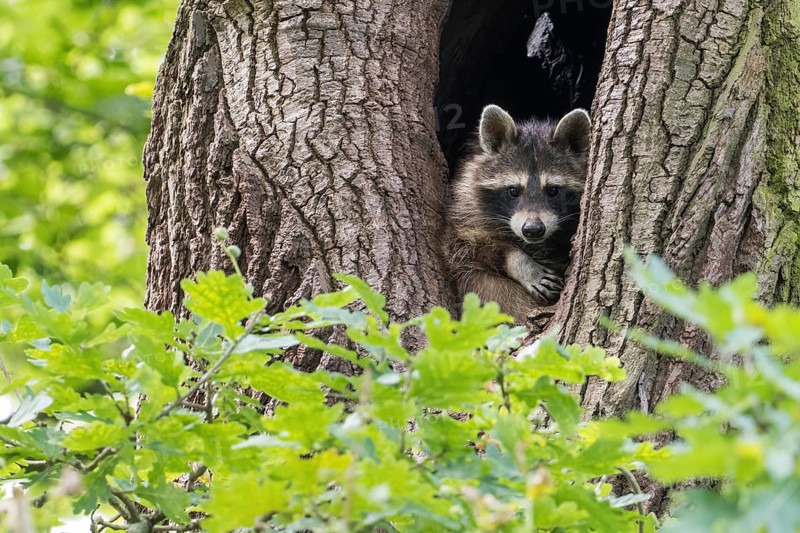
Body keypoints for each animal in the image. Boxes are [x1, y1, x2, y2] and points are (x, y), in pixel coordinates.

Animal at [446, 105, 591, 323]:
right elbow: (466, 247)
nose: (533, 229)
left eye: (553, 191)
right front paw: (521, 264)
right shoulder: (464, 212)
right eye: (513, 191)